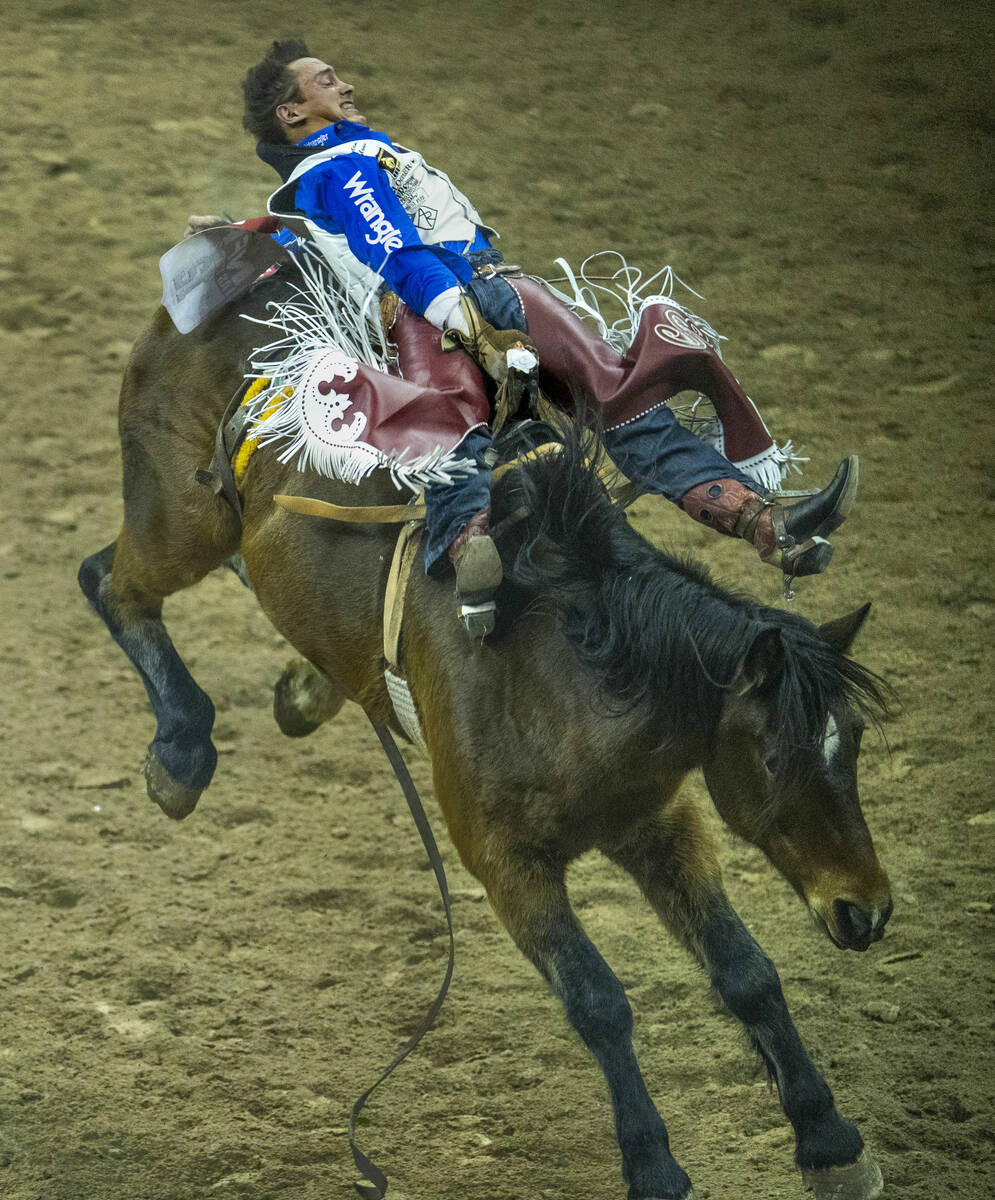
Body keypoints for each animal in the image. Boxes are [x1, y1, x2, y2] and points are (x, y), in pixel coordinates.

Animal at [79, 272, 892, 1200]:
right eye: (774, 756)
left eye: (851, 744)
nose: (867, 912)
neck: (564, 668)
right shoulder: (503, 859)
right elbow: (599, 1002)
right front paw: (653, 1164)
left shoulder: (659, 824)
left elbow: (747, 973)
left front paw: (831, 1141)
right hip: (181, 518)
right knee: (110, 582)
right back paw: (181, 752)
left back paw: (306, 691)